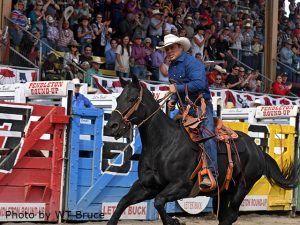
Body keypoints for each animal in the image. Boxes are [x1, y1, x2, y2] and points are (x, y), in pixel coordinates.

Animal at [105, 76, 298, 225]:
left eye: (132, 99)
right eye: (118, 99)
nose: (111, 126)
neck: (163, 144)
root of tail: (257, 150)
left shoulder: (182, 185)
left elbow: (159, 202)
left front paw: (175, 221)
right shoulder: (148, 185)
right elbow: (123, 202)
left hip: (242, 187)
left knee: (230, 216)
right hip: (223, 191)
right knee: (224, 216)